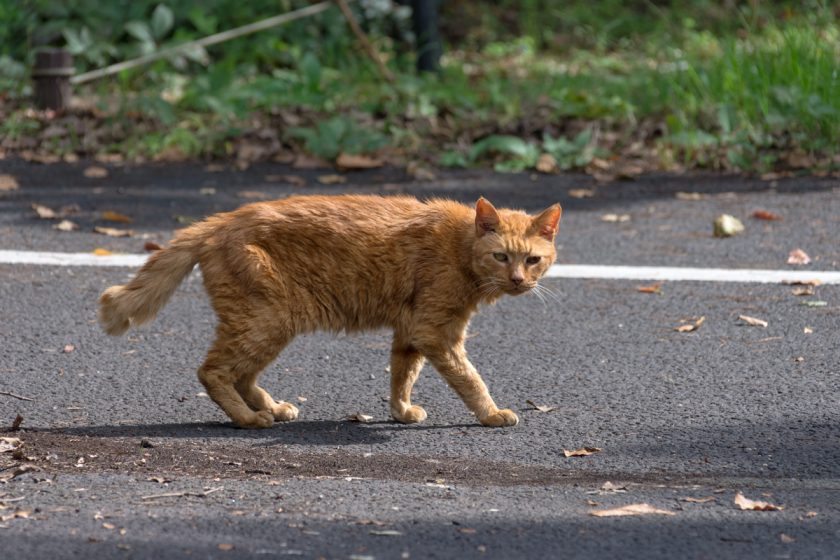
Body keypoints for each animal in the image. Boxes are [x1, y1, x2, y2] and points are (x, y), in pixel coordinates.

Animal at [98, 196, 560, 428]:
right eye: (501, 256)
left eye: (533, 260)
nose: (519, 280)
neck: (461, 247)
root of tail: (218, 220)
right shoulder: (436, 331)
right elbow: (470, 379)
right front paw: (491, 413)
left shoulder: (411, 331)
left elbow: (402, 375)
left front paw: (401, 412)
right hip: (267, 320)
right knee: (212, 372)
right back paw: (249, 419)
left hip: (269, 325)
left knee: (241, 374)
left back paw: (273, 407)